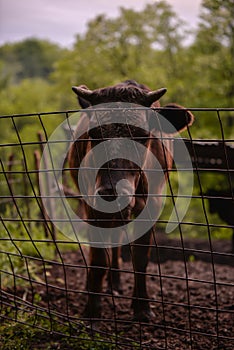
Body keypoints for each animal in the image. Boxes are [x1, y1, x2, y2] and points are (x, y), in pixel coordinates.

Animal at [68, 80, 194, 322]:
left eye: (142, 135)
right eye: (94, 134)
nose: (111, 191)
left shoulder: (153, 205)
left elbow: (140, 257)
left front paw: (142, 306)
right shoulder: (93, 204)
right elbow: (99, 258)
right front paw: (92, 309)